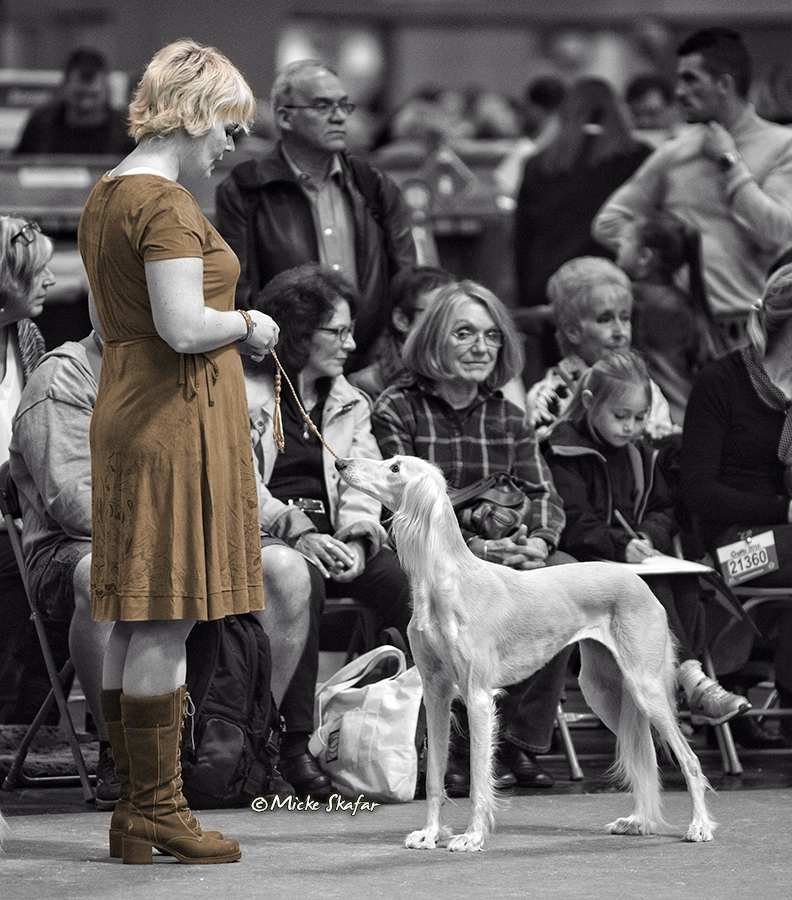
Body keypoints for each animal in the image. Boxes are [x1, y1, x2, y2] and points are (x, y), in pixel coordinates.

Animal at [332, 458, 716, 852]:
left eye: (394, 467)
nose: (340, 463)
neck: (447, 582)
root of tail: (640, 581)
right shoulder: (436, 693)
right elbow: (435, 777)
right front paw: (430, 833)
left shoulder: (478, 696)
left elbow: (478, 780)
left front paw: (472, 836)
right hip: (605, 691)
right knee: (644, 756)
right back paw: (639, 820)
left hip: (644, 686)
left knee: (689, 760)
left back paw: (699, 826)